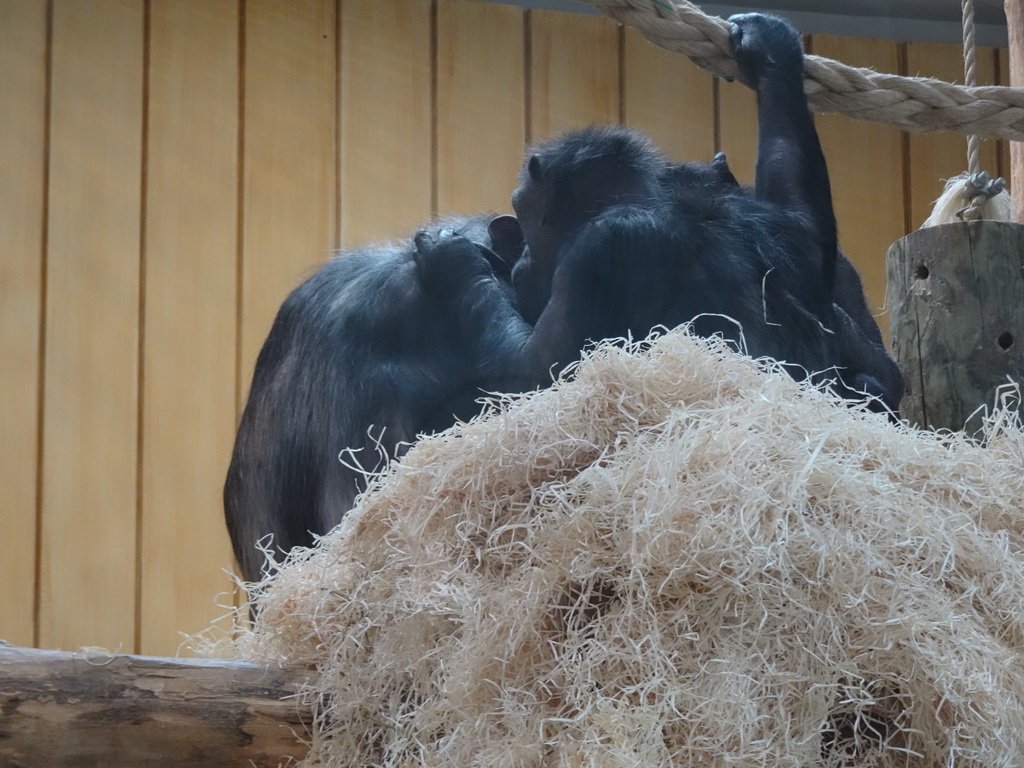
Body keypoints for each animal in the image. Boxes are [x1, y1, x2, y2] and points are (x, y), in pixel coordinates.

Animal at [419, 9, 901, 411]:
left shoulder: (604, 247)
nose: (520, 256)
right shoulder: (780, 226)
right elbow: (805, 220)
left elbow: (538, 371)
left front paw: (448, 259)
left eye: (524, 213)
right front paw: (771, 49)